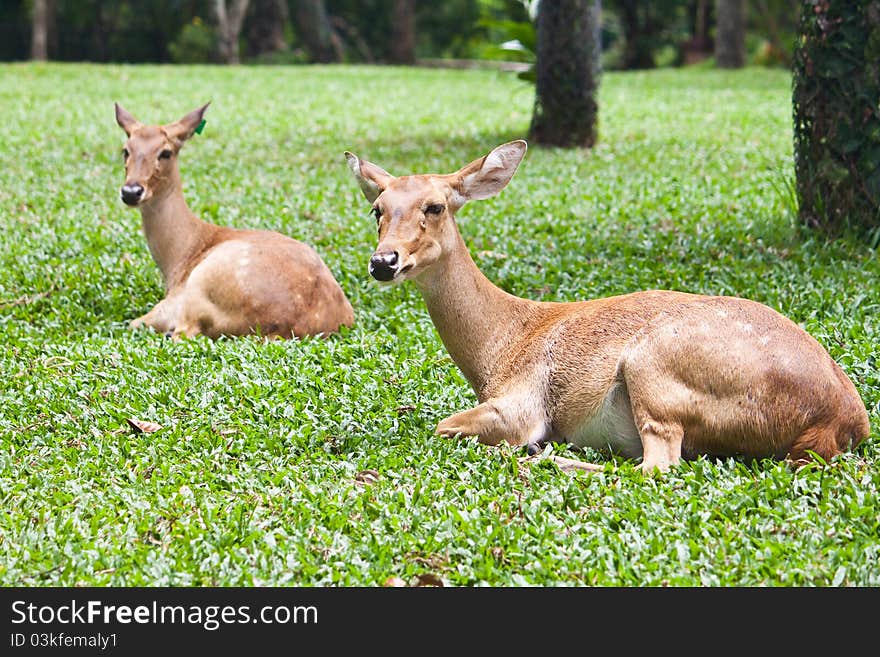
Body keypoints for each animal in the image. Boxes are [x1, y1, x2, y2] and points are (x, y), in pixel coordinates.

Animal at [113, 102, 354, 340]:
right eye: (126, 150)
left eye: (165, 152)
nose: (131, 191)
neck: (181, 255)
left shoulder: (171, 302)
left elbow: (134, 323)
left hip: (200, 288)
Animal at [342, 140, 868, 472]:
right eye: (377, 209)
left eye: (435, 206)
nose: (383, 261)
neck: (500, 345)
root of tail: (842, 421)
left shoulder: (523, 401)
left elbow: (444, 427)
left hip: (654, 367)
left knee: (658, 466)